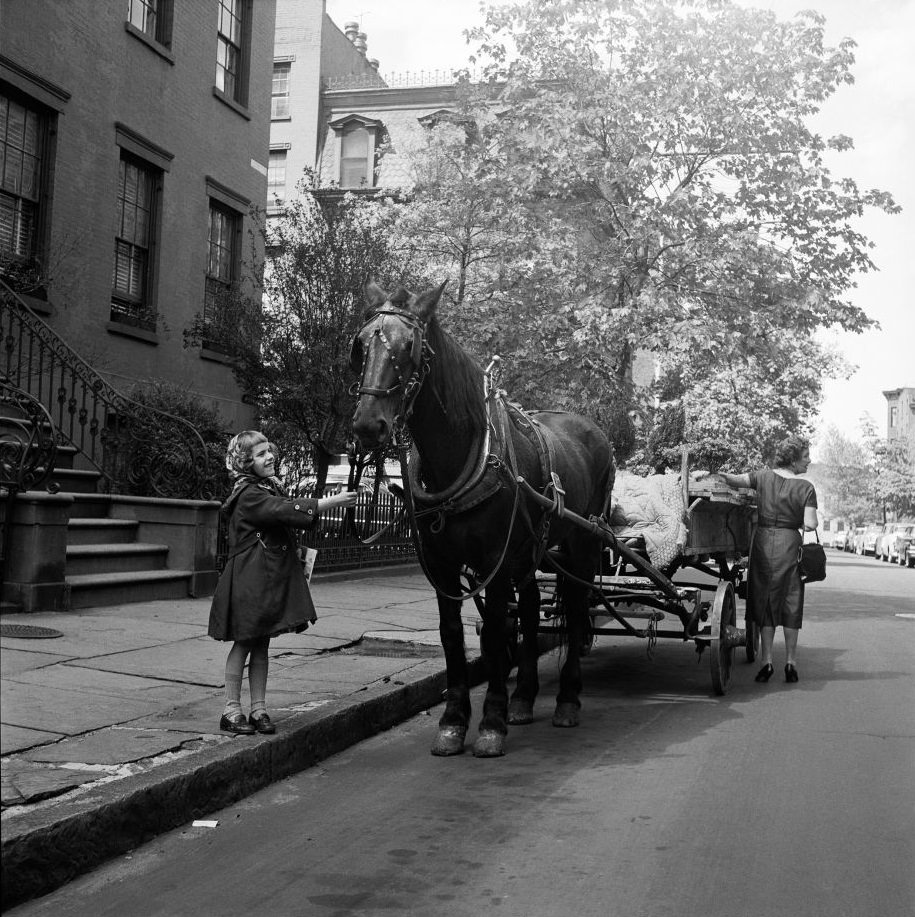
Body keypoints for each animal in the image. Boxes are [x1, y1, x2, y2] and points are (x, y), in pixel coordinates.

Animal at [350, 282, 616, 756]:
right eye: (360, 345)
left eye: (409, 347)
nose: (367, 424)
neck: (458, 459)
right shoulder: (441, 563)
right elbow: (453, 634)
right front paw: (455, 720)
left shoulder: (495, 560)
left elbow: (493, 634)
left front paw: (491, 723)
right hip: (531, 547)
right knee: (530, 607)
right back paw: (524, 697)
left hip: (582, 542)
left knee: (576, 606)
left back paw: (567, 700)